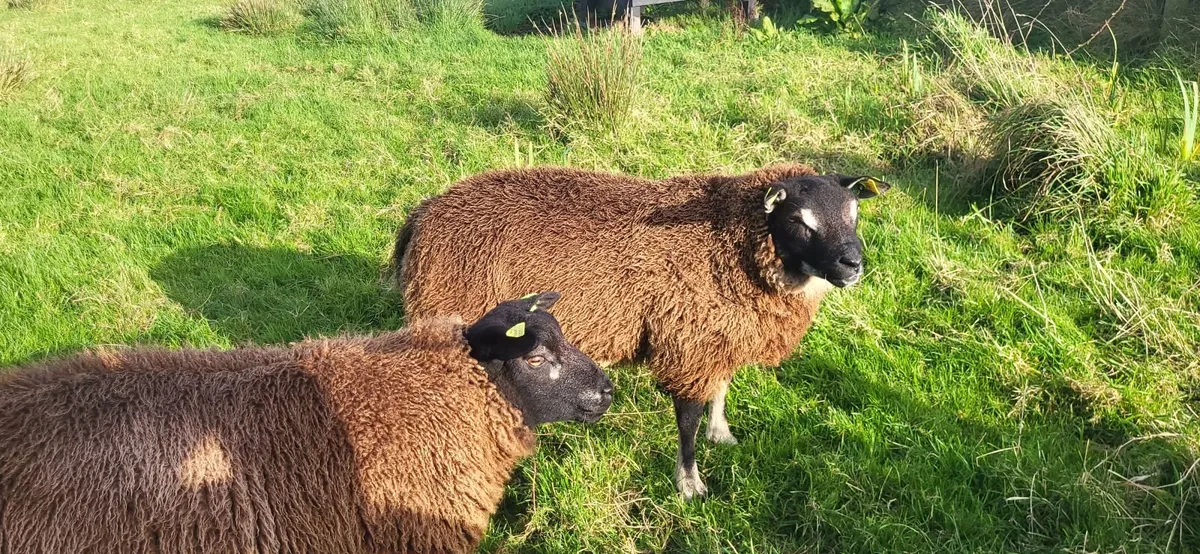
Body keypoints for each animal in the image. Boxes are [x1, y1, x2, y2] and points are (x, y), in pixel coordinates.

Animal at [393, 164, 890, 499]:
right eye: (797, 220)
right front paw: (690, 484)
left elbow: (722, 388)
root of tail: (423, 214)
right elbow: (688, 420)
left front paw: (722, 434)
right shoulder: (689, 341)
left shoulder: (719, 337)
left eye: (854, 213)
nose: (852, 265)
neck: (727, 245)